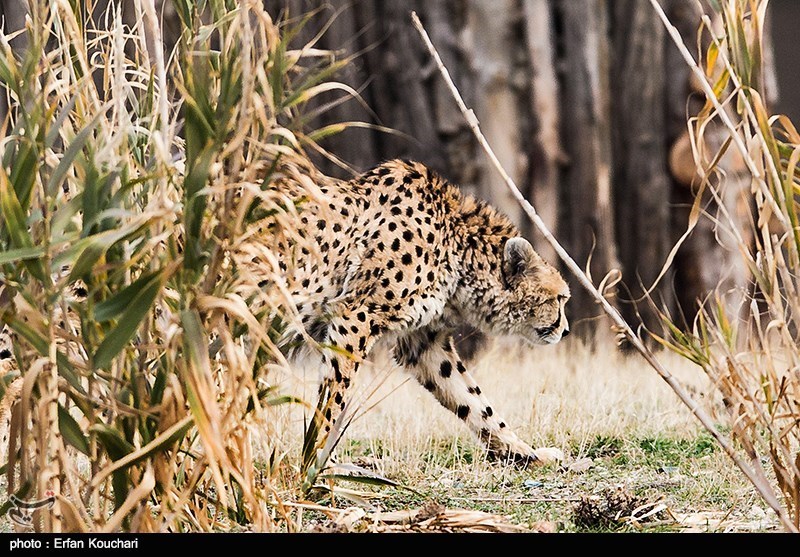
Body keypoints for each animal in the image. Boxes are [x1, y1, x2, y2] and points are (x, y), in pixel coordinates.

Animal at [282, 159, 568, 462]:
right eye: (560, 298)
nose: (565, 330)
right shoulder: (356, 316)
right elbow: (334, 397)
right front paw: (318, 459)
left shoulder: (424, 343)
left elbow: (474, 400)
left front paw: (527, 453)